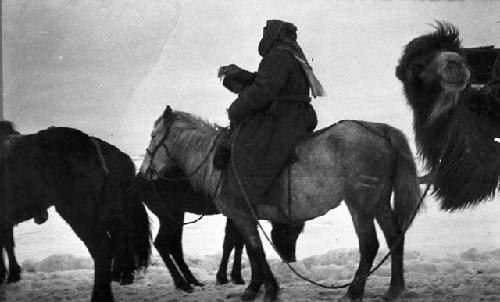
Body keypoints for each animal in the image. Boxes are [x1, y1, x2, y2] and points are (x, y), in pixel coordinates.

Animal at [0, 124, 152, 300]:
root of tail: (93, 144)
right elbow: (8, 244)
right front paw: (12, 275)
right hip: (108, 211)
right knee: (120, 238)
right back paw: (121, 276)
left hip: (79, 212)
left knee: (103, 249)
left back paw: (103, 293)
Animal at [134, 169, 304, 292]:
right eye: (289, 230)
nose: (291, 258)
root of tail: (138, 180)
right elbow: (231, 243)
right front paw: (225, 277)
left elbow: (237, 243)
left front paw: (235, 277)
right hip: (169, 215)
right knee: (162, 243)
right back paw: (182, 284)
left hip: (177, 215)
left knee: (175, 247)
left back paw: (193, 280)